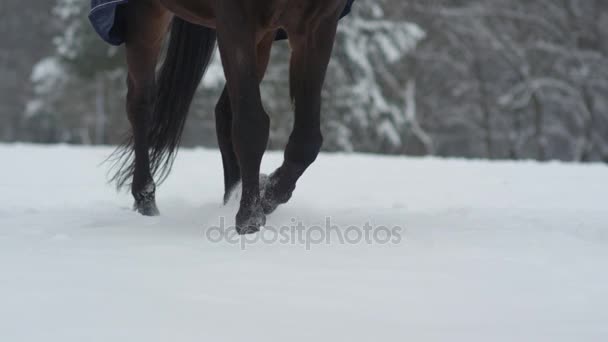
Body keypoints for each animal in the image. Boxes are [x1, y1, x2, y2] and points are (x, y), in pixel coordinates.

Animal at [91, 0, 356, 235]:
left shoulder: (318, 24)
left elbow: (306, 141)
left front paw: (266, 194)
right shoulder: (235, 21)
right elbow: (251, 125)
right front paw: (250, 218)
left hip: (263, 36)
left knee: (224, 112)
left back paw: (232, 196)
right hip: (144, 17)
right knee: (141, 104)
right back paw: (146, 199)